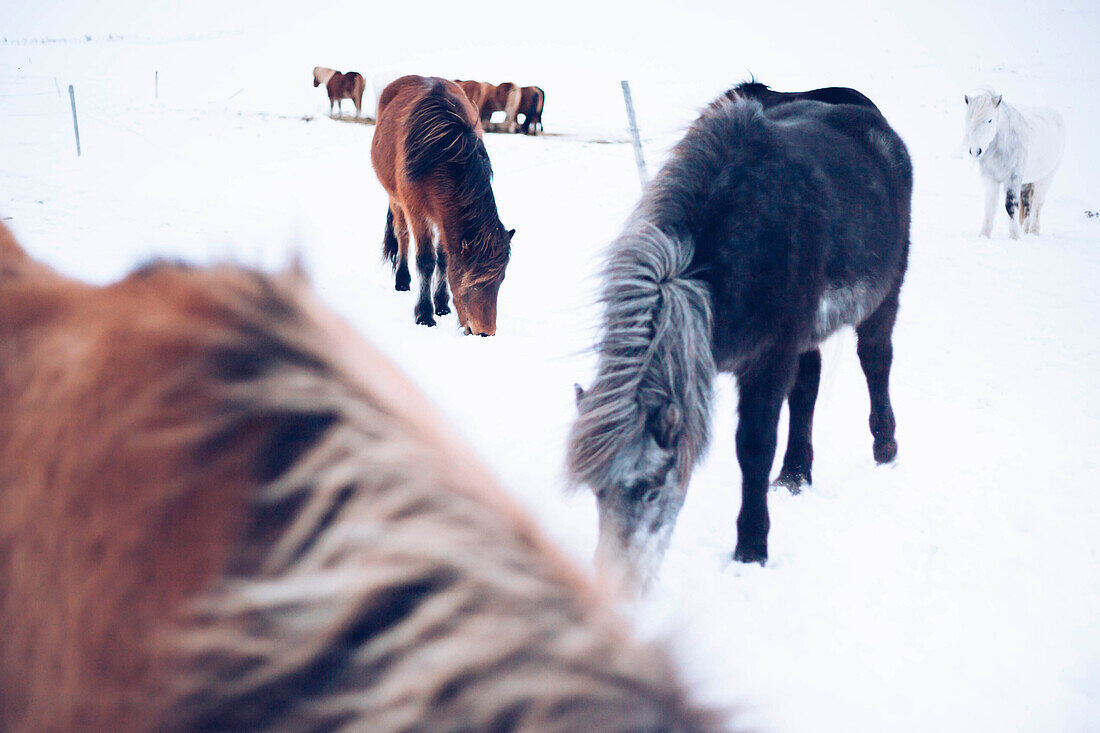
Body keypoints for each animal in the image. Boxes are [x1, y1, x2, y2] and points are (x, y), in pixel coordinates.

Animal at [371, 74, 512, 334]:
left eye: (500, 281)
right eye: (473, 282)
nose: (485, 333)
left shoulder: (442, 217)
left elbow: (444, 260)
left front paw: (442, 304)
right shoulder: (418, 213)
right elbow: (426, 261)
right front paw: (425, 314)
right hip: (396, 200)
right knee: (402, 234)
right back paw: (402, 280)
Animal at [567, 82, 910, 581]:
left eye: (650, 489)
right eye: (595, 491)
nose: (612, 581)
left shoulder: (768, 361)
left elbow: (753, 448)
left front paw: (751, 549)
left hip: (884, 299)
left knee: (876, 361)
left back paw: (885, 448)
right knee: (807, 388)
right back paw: (795, 475)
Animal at [963, 91, 1064, 238]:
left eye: (989, 120)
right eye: (969, 119)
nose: (976, 151)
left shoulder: (1013, 179)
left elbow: (1010, 206)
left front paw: (1014, 236)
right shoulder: (990, 179)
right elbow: (990, 207)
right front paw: (984, 235)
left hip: (1046, 178)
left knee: (1037, 204)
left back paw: (1034, 232)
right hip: (1028, 182)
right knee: (1028, 204)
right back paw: (1026, 231)